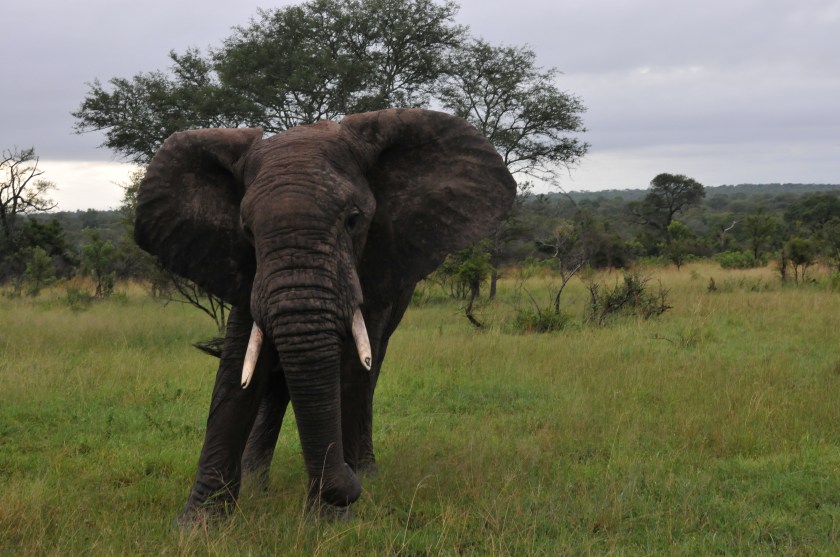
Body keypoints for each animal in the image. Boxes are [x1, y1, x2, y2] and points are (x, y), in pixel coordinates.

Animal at [134, 108, 516, 523]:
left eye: (353, 220)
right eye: (247, 230)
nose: (347, 485)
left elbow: (349, 366)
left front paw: (328, 519)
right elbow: (238, 366)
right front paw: (198, 524)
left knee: (368, 367)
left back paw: (364, 471)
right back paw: (260, 484)